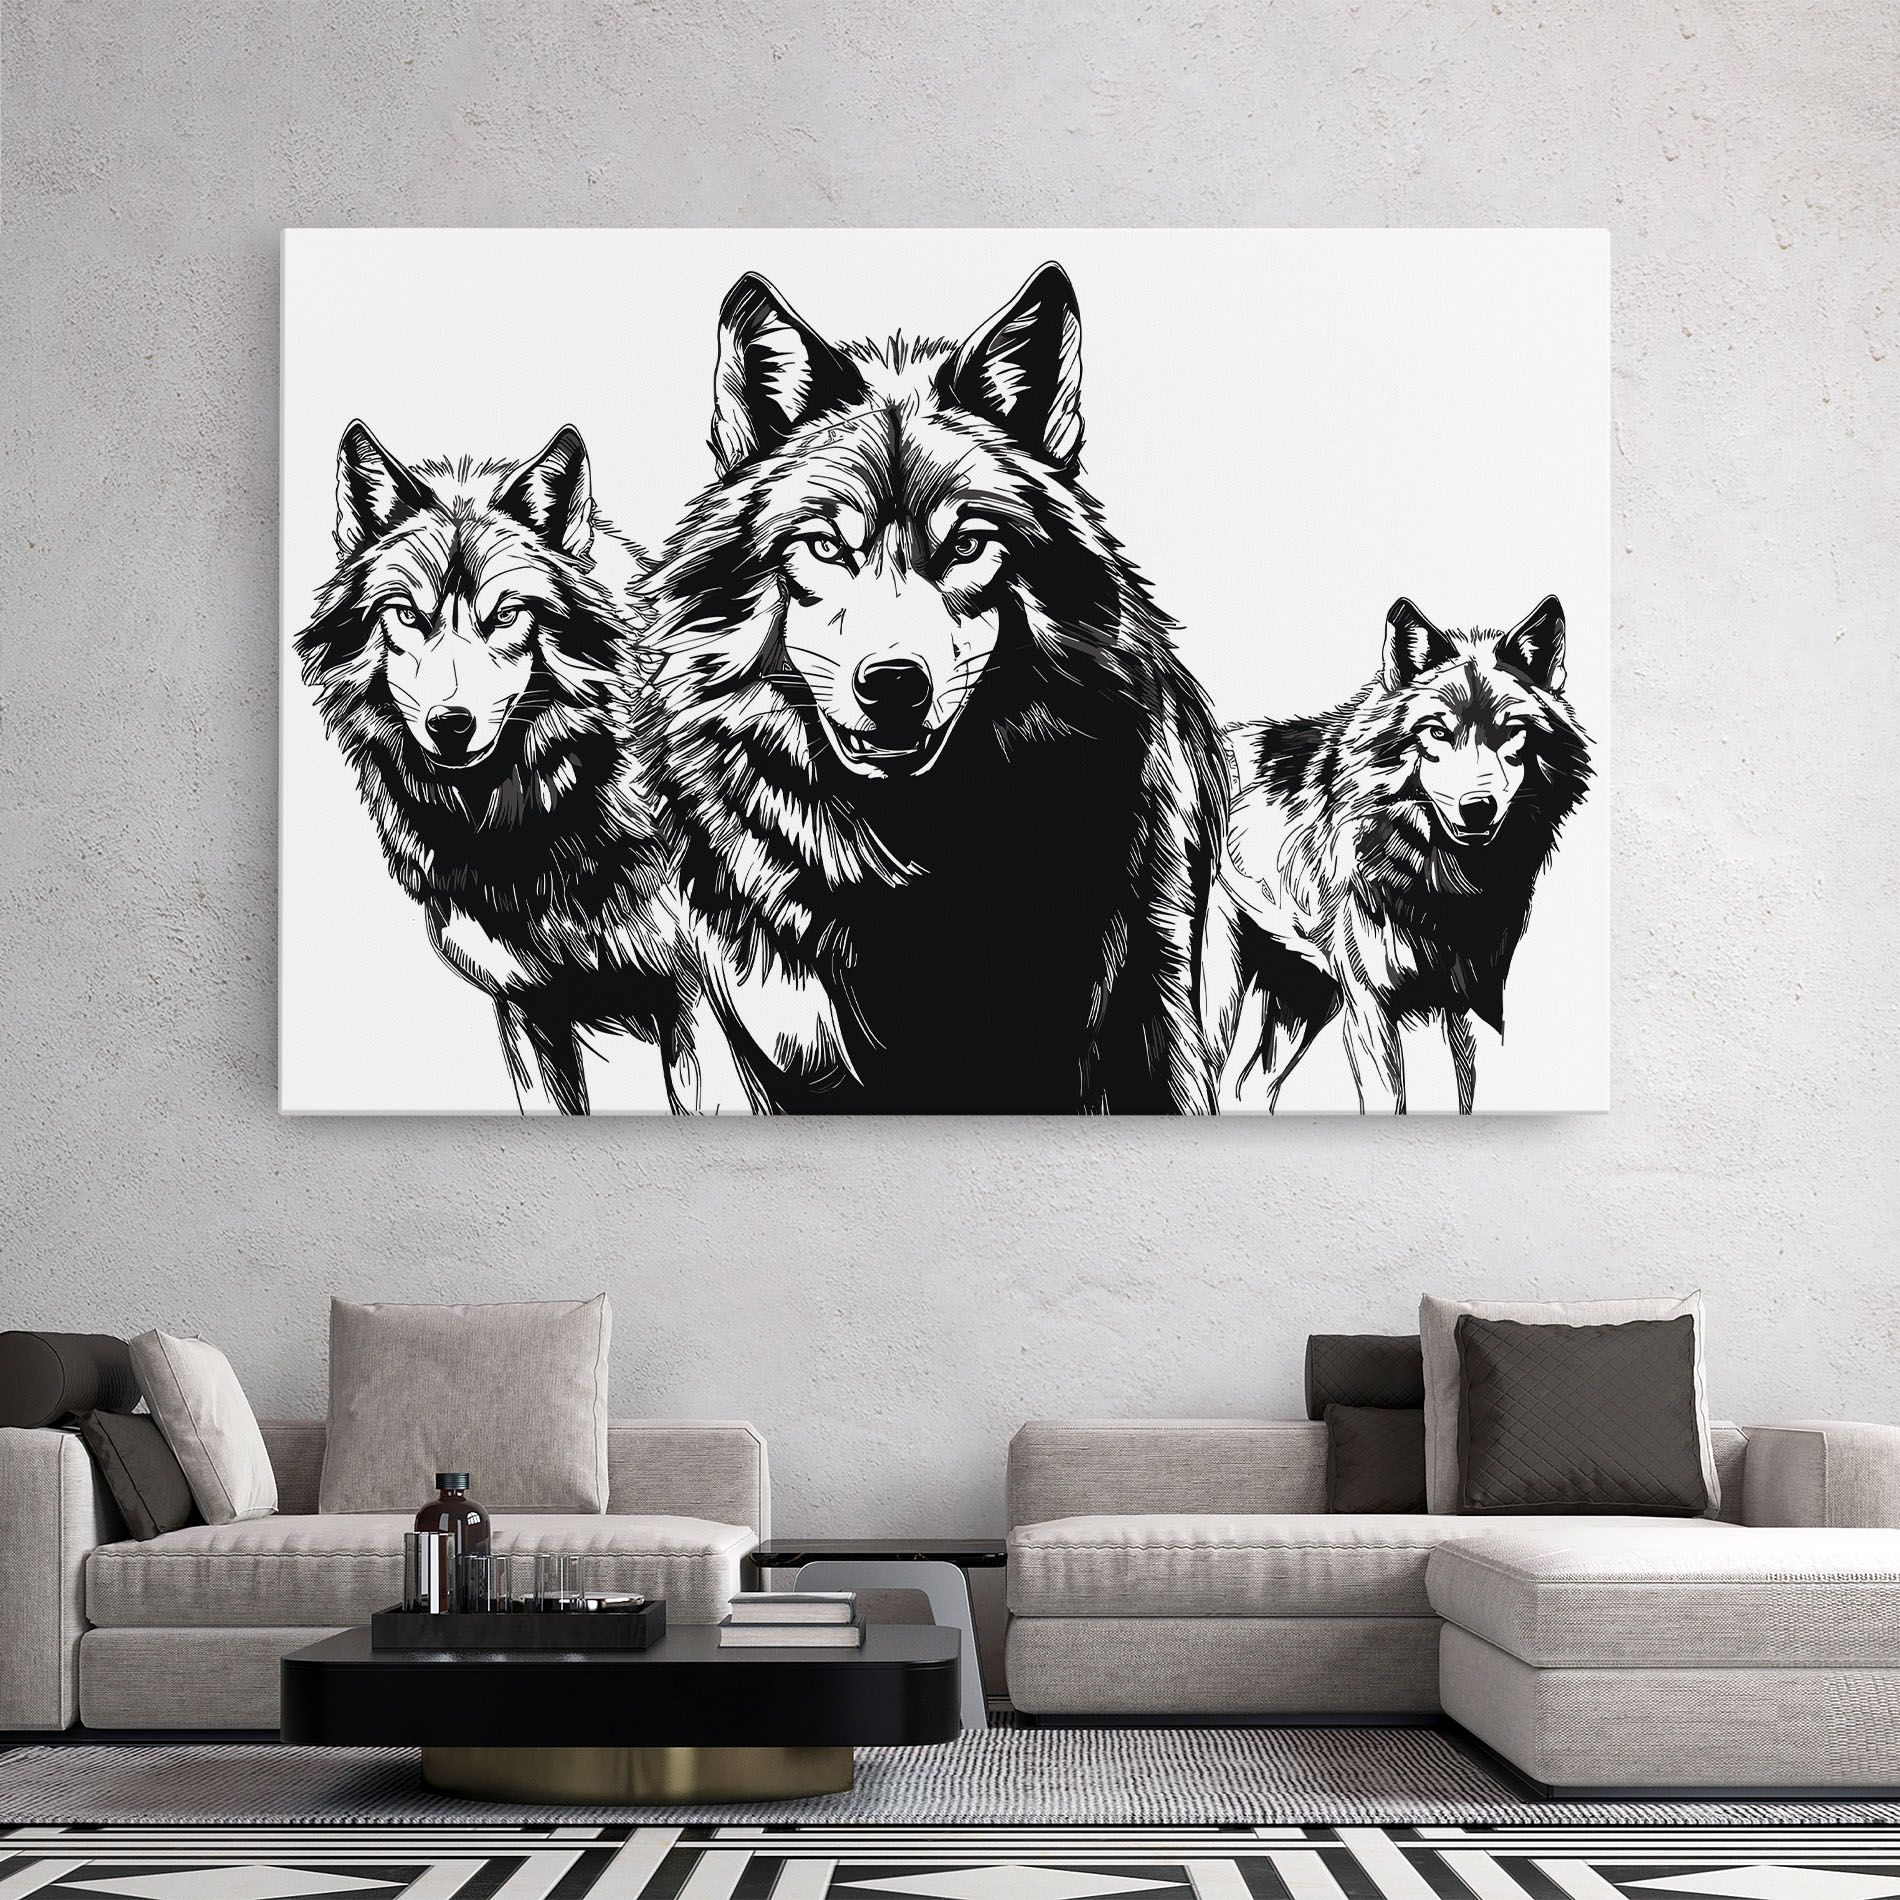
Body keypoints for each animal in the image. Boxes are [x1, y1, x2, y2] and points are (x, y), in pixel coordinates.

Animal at [1209, 596, 1592, 1113]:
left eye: (1511, 731)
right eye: (1436, 732)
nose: (1478, 807)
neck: (1445, 886)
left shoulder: (1473, 1008)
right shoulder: (1371, 1010)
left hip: (1306, 999)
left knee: (1248, 1084)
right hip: (1221, 996)